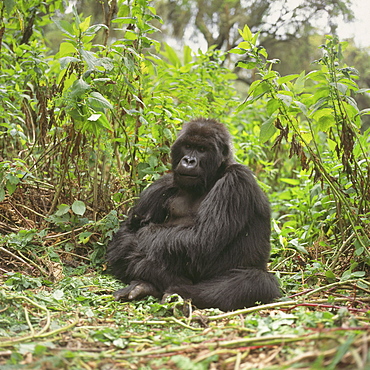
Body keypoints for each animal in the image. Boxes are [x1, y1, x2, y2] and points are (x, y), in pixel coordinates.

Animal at [107, 118, 280, 310]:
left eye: (202, 149)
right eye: (188, 146)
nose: (189, 160)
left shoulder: (236, 181)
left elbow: (202, 240)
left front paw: (144, 239)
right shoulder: (163, 184)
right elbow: (127, 232)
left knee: (256, 282)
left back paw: (176, 291)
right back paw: (146, 285)